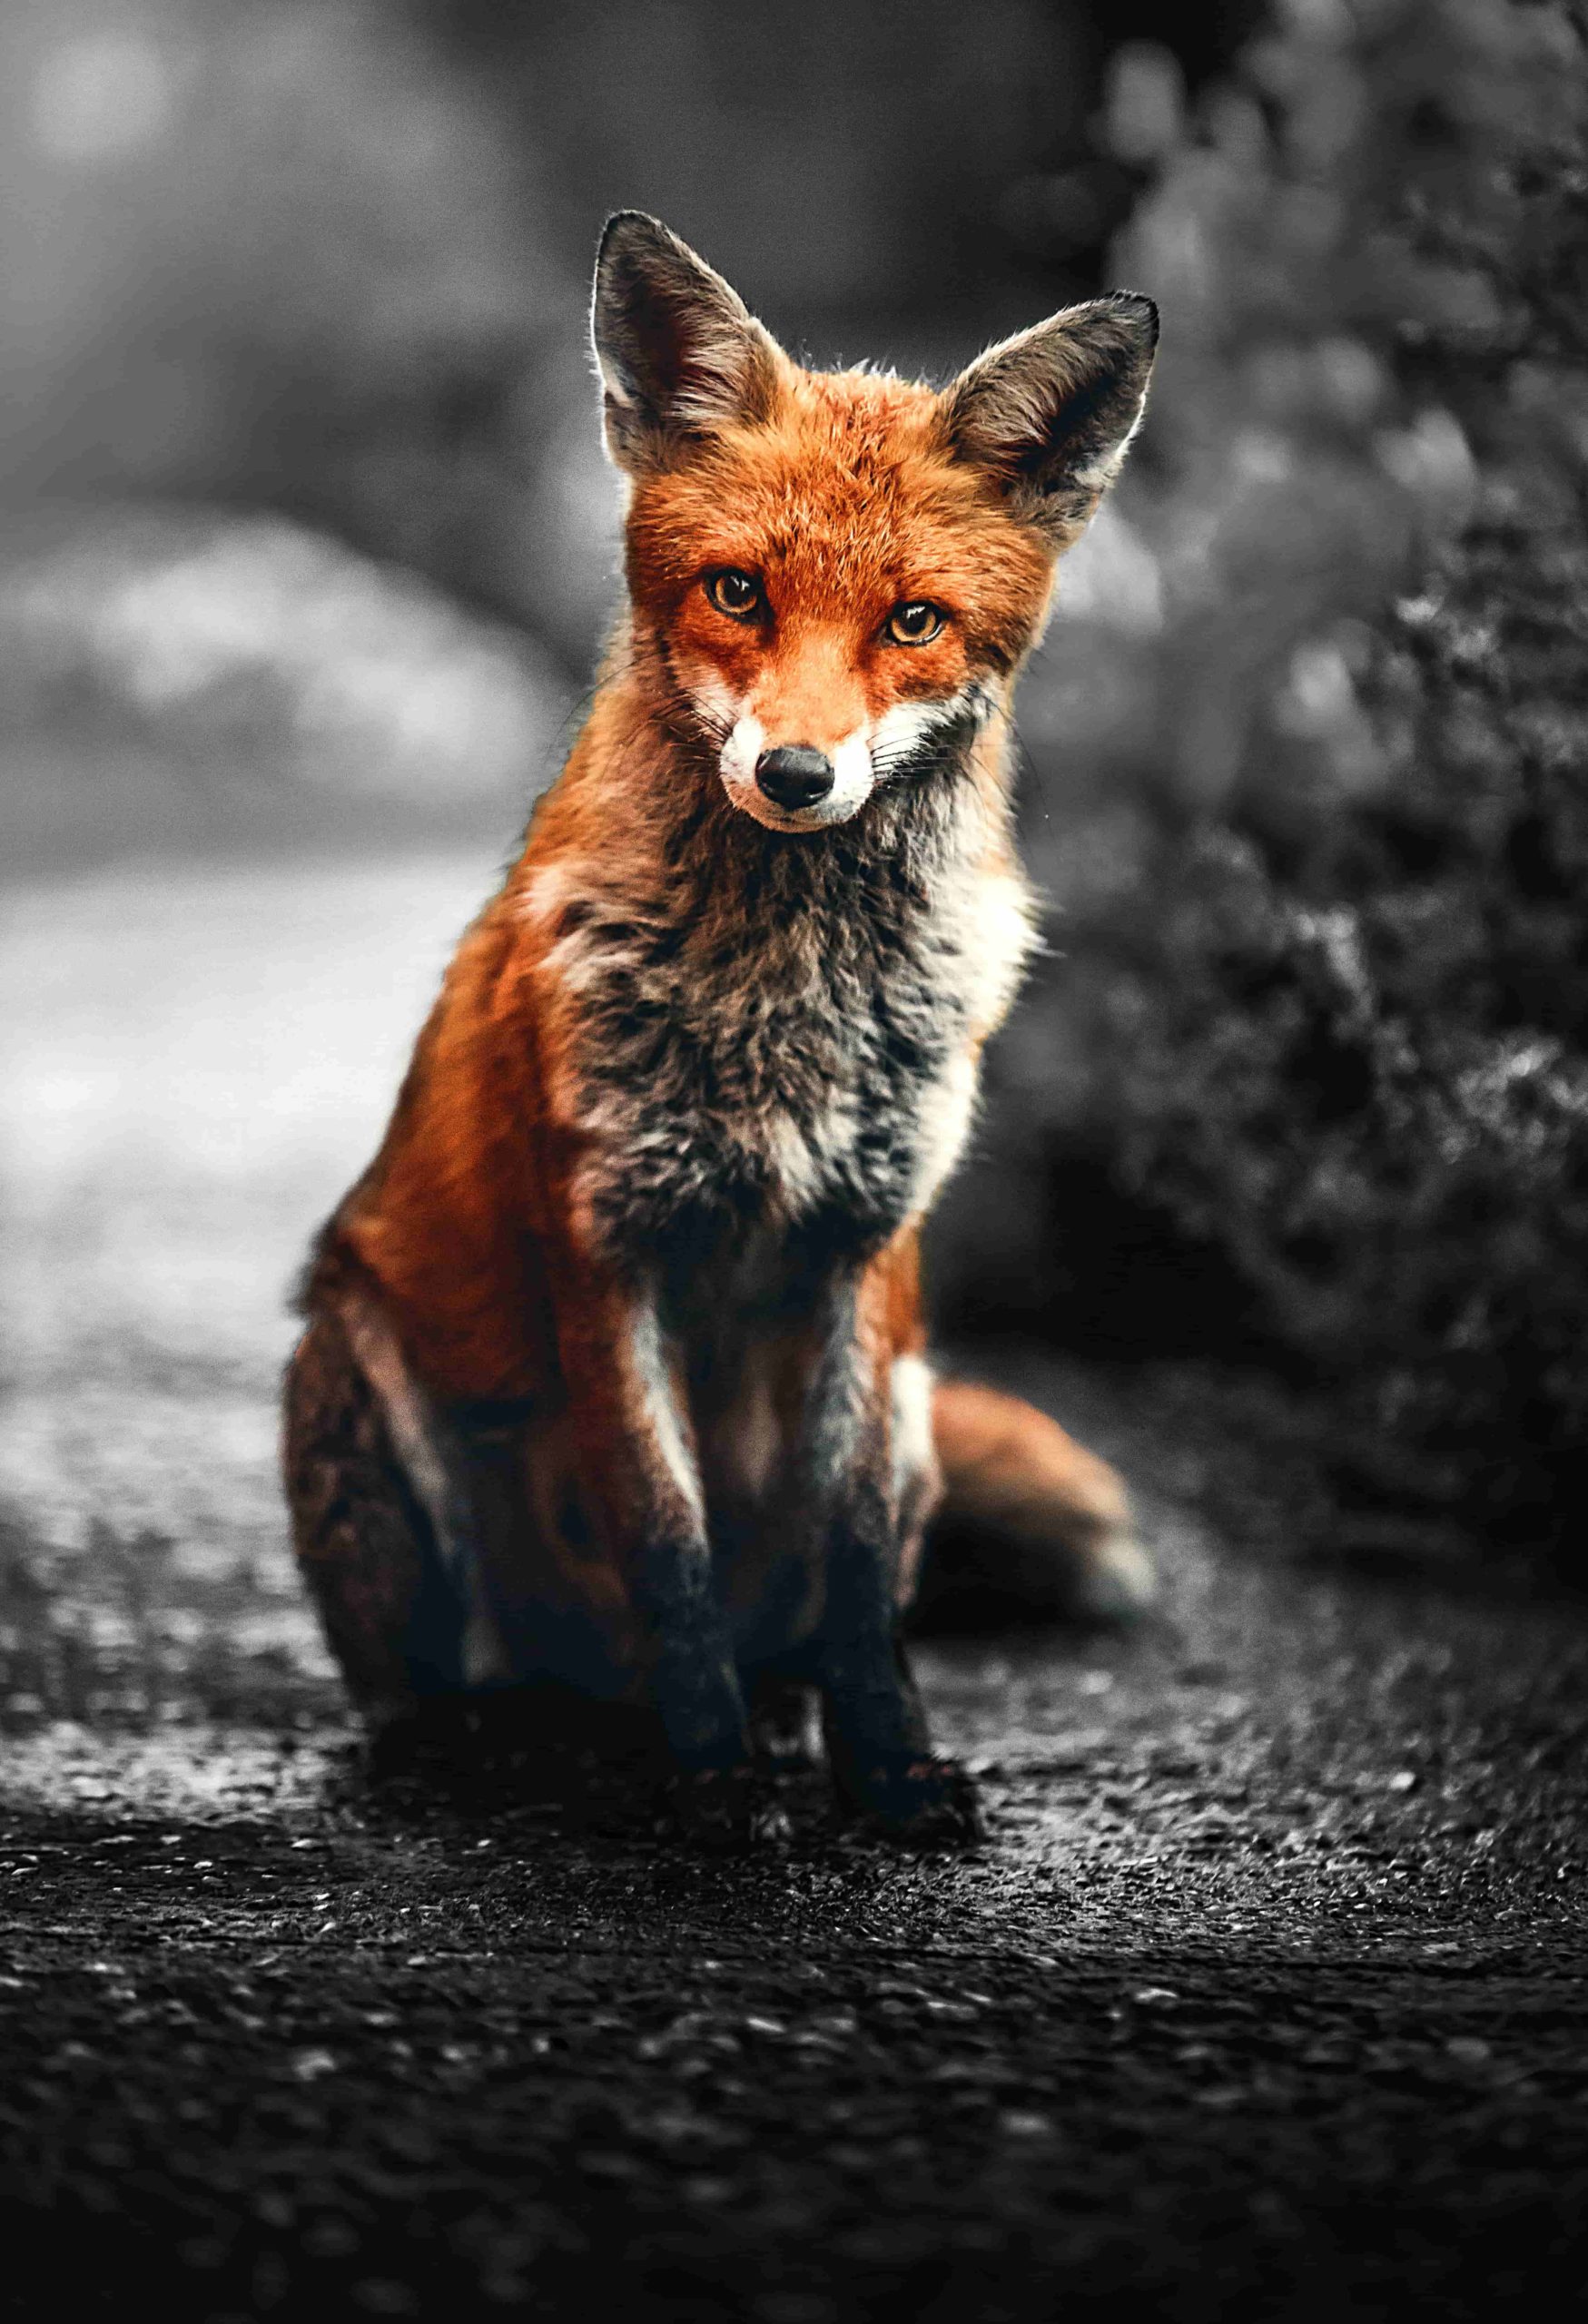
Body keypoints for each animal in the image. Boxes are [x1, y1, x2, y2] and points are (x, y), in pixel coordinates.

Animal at [283, 212, 1158, 1847]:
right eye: (739, 592)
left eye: (911, 621)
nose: (798, 775)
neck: (784, 1010)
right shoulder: (606, 1245)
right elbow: (667, 1546)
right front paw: (708, 1787)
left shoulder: (867, 1254)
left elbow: (855, 1574)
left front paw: (886, 1767)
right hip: (361, 1376)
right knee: (431, 1685)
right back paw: (483, 1745)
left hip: (920, 1399)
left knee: (807, 1618)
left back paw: (782, 1717)